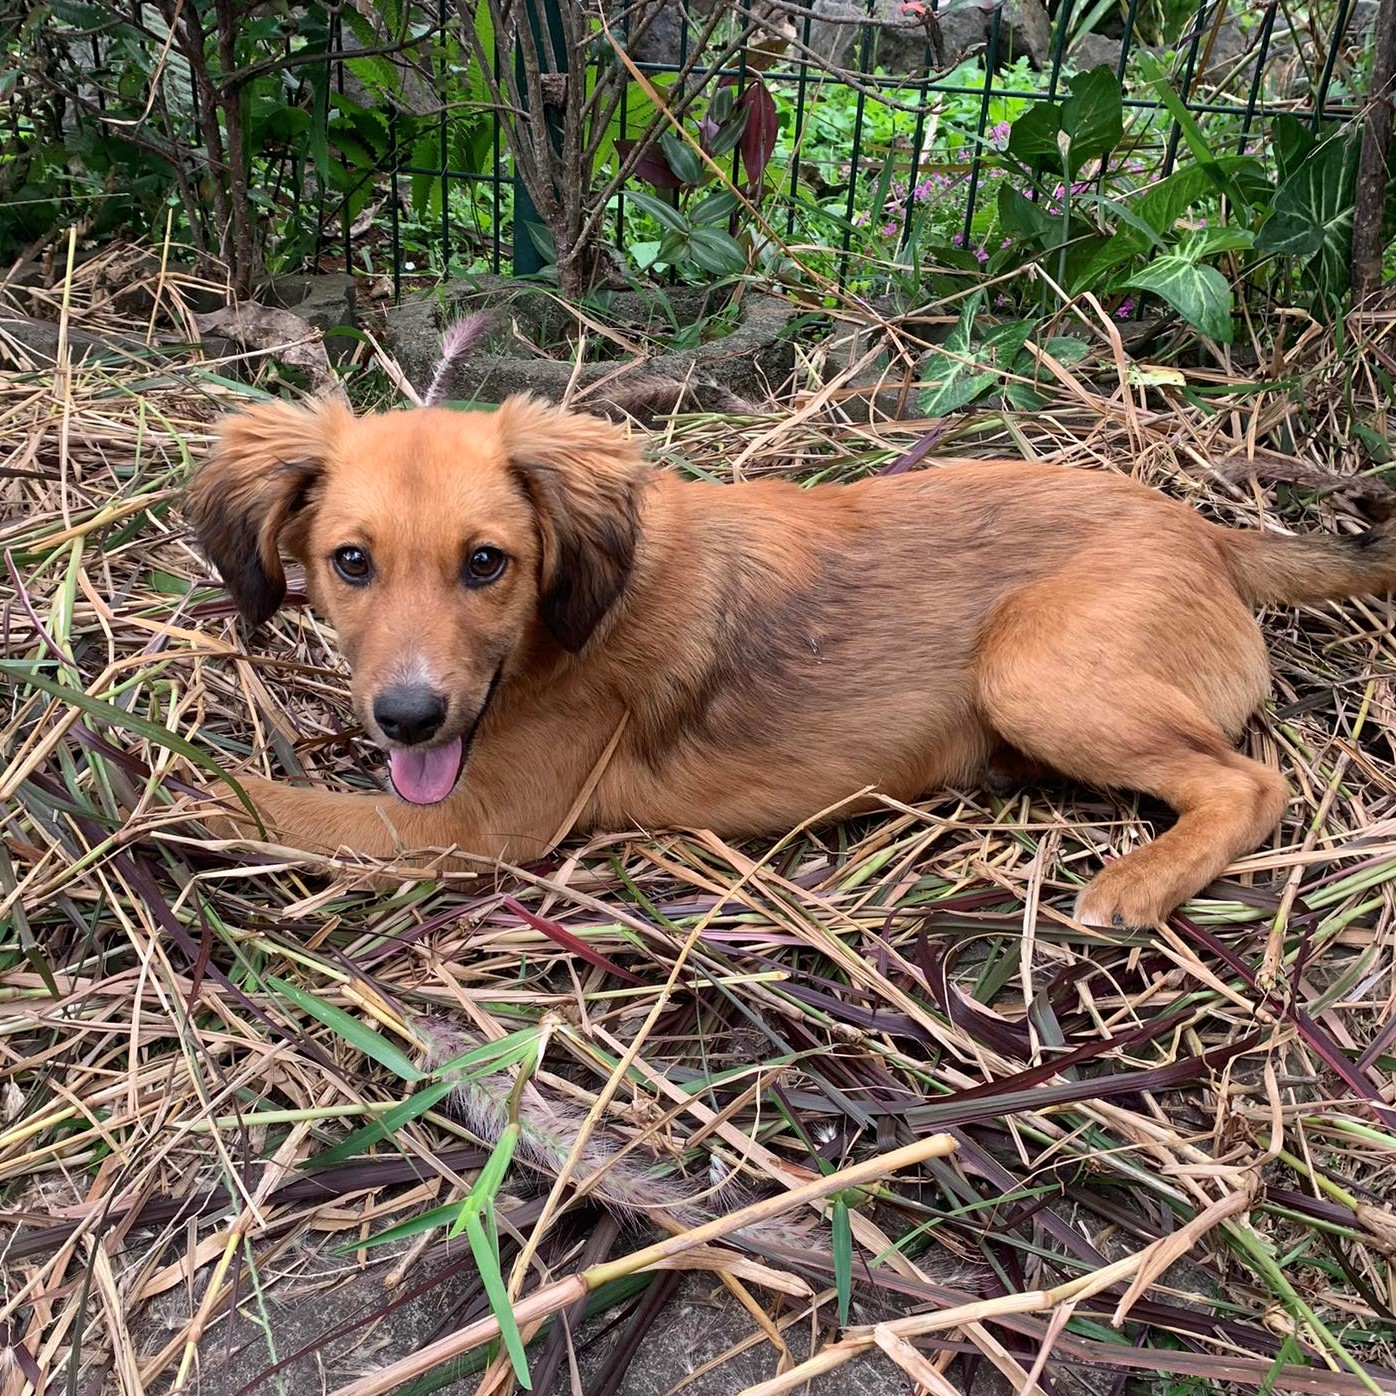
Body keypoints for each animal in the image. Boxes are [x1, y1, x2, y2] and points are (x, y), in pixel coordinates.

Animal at [185, 393, 1396, 932]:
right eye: (349, 563)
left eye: (488, 563)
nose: (407, 717)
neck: (572, 606)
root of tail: (1205, 530)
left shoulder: (475, 828)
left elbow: (258, 803)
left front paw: (151, 787)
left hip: (1034, 668)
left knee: (1249, 782)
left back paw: (1134, 884)